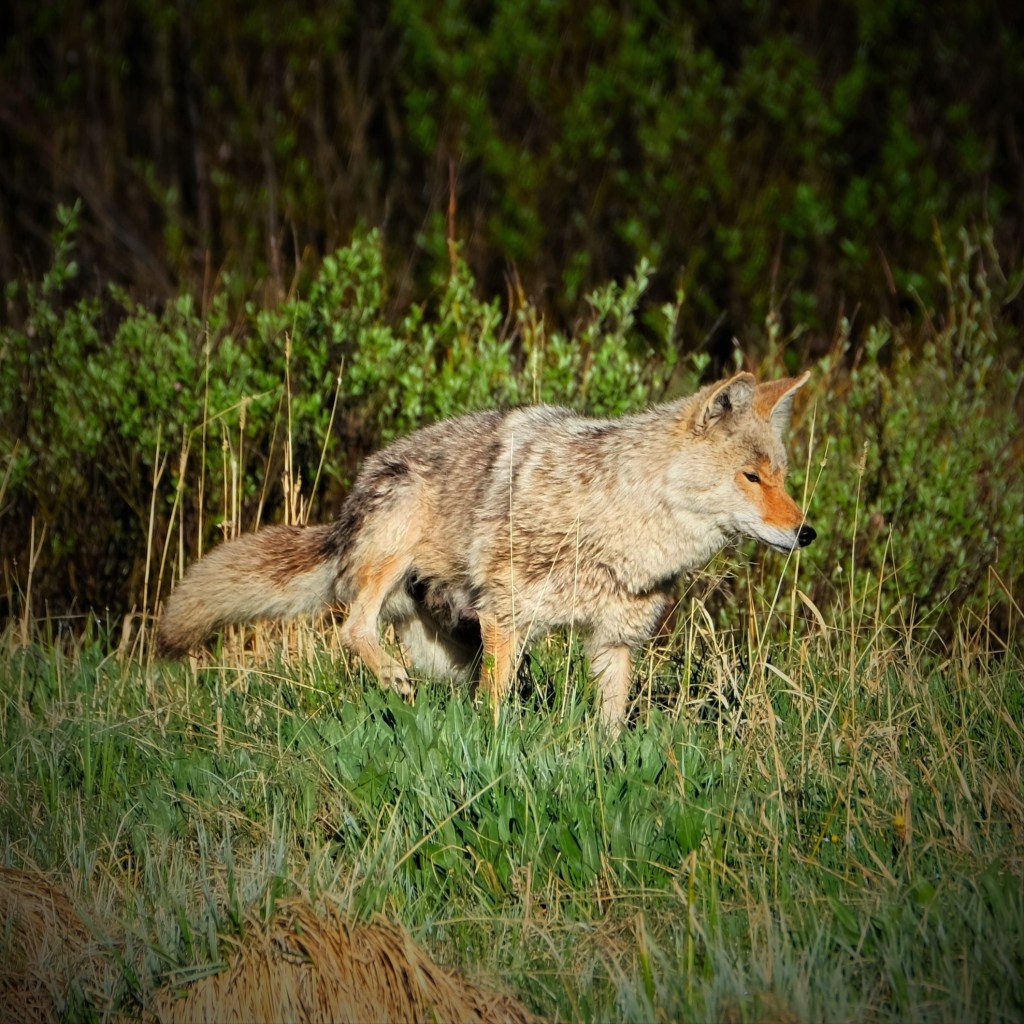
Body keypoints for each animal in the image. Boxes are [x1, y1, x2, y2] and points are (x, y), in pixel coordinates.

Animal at [157, 371, 815, 730]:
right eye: (751, 478)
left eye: (781, 476)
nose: (806, 532)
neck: (614, 516)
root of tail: (348, 507)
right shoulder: (507, 618)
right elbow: (495, 711)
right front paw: (497, 752)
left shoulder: (614, 640)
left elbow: (611, 727)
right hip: (398, 540)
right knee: (352, 627)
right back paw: (390, 678)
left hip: (448, 650)